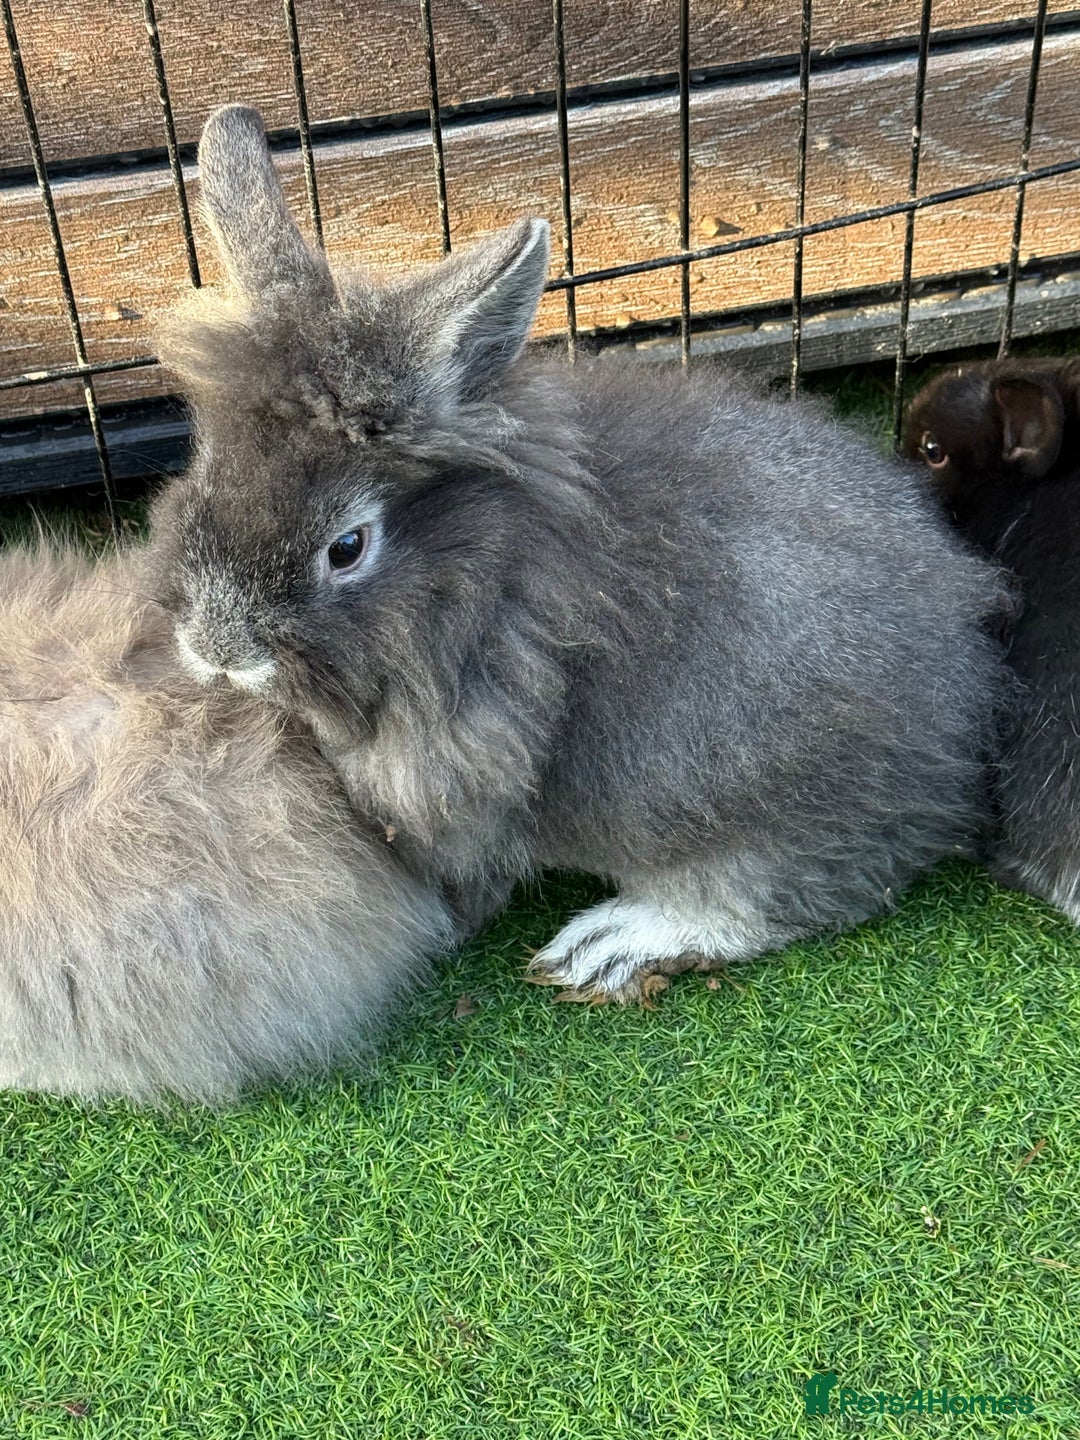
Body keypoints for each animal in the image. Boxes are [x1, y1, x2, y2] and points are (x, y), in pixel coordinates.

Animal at [144, 103, 1009, 1004]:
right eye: (206, 468)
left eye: (346, 548)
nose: (215, 649)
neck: (485, 575)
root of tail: (963, 702)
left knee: (786, 890)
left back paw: (608, 947)